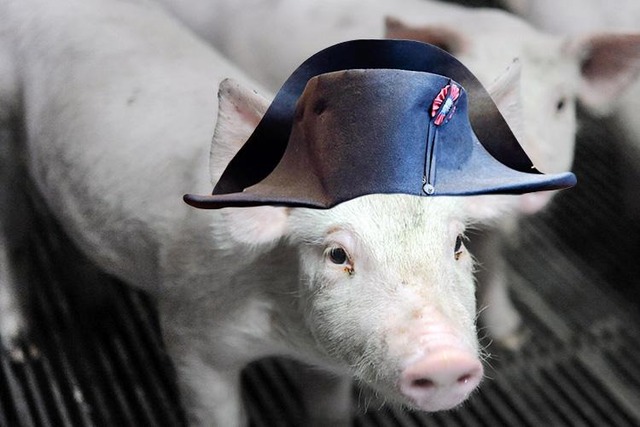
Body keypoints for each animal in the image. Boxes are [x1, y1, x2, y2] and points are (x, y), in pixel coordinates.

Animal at [0, 0, 540, 425]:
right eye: (338, 254)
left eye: (457, 244)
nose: (444, 358)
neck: (284, 334)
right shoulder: (189, 331)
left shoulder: (326, 365)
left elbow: (327, 412)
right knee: (12, 233)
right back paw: (22, 345)